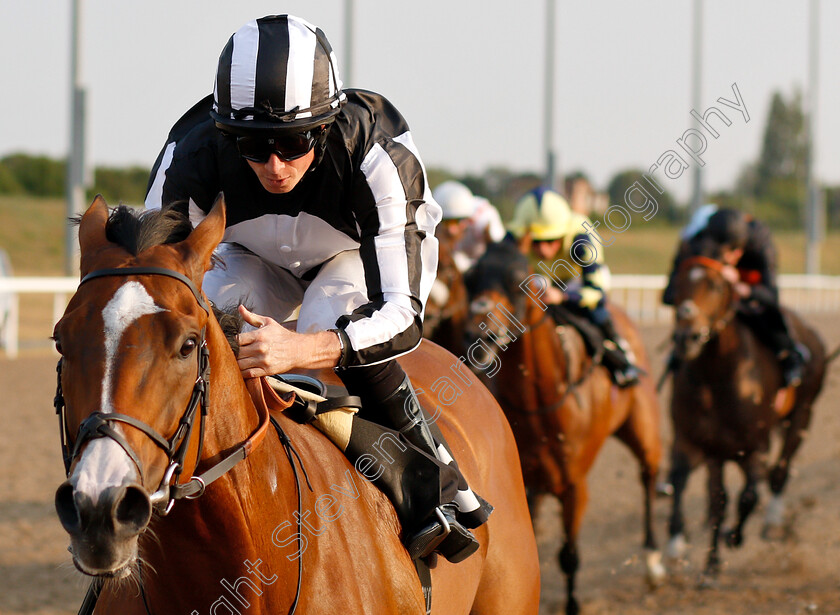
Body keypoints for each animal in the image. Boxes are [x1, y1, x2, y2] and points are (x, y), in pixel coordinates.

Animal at [462, 241, 668, 615]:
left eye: (517, 277)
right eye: (470, 277)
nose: (478, 334)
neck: (542, 402)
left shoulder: (575, 484)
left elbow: (569, 556)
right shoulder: (526, 482)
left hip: (644, 431)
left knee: (648, 477)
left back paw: (653, 562)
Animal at [668, 256, 828, 584]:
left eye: (716, 286)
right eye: (676, 283)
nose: (686, 337)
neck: (717, 377)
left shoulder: (755, 448)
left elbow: (749, 496)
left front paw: (733, 536)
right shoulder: (699, 442)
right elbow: (707, 495)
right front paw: (699, 560)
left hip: (802, 415)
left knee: (779, 472)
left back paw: (772, 523)